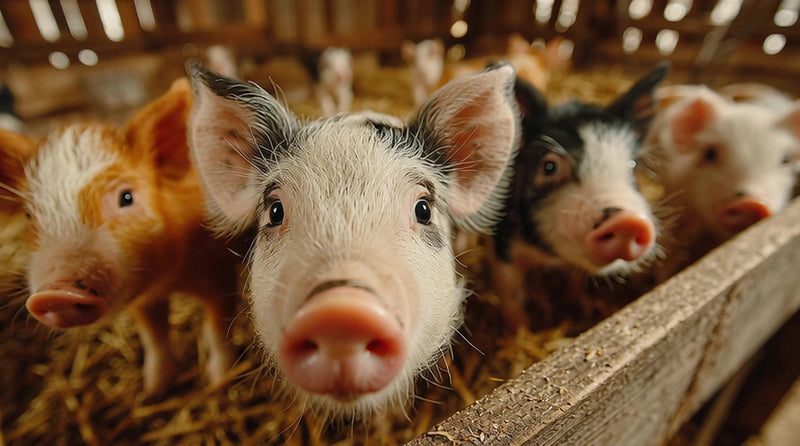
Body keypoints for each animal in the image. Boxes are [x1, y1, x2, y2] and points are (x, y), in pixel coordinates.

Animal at [21, 78, 241, 398]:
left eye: (126, 197)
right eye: (29, 216)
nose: (55, 293)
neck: (171, 279)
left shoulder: (220, 271)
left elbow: (217, 329)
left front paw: (219, 383)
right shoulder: (141, 296)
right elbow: (154, 337)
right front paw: (152, 391)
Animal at [489, 63, 669, 328]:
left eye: (633, 166)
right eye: (549, 166)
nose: (627, 221)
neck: (548, 255)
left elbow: (575, 279)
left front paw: (584, 308)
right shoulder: (502, 244)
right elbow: (512, 298)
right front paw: (521, 331)